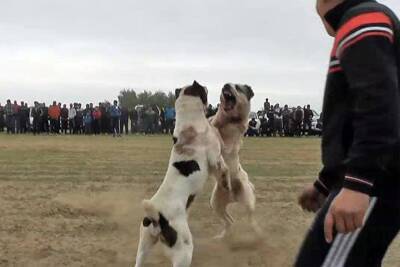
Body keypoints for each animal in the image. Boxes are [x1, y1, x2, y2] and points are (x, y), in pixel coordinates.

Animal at [134, 81, 228, 267]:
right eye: (202, 88)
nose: (207, 87)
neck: (190, 120)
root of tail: (157, 217)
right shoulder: (214, 158)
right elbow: (223, 169)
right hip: (183, 250)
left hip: (144, 245)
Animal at [209, 84, 260, 239]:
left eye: (238, 87)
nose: (226, 85)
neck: (226, 121)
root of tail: (232, 196)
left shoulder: (227, 145)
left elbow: (217, 136)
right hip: (216, 203)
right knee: (229, 221)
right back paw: (221, 237)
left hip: (247, 199)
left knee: (250, 218)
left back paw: (257, 232)